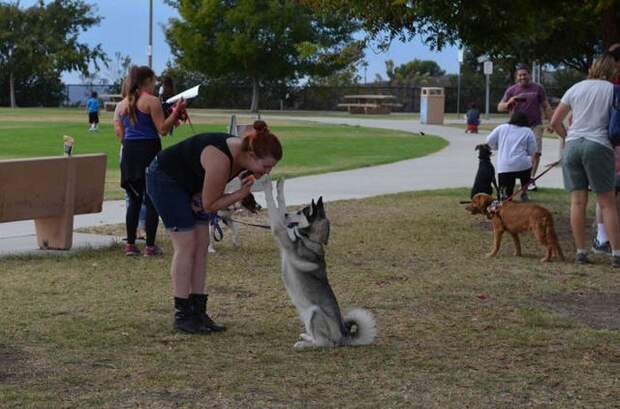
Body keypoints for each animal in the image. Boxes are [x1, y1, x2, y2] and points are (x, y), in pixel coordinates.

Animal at [262, 177, 378, 350]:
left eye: (300, 212)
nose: (286, 214)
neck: (310, 239)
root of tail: (343, 336)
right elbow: (280, 202)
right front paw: (279, 185)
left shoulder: (279, 231)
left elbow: (272, 204)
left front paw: (267, 184)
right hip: (306, 316)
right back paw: (306, 337)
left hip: (314, 312)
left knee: (324, 343)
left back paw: (304, 344)